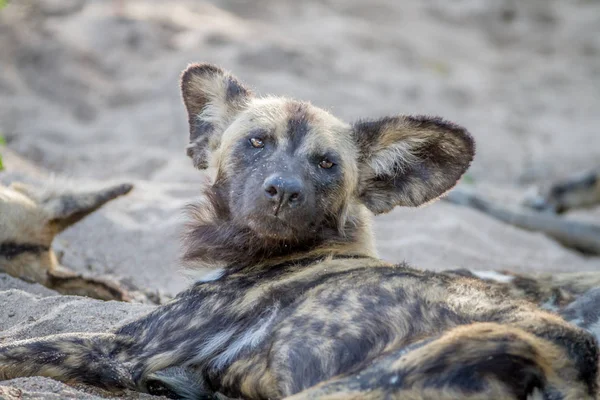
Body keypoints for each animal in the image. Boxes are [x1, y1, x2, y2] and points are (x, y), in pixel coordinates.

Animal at [0, 64, 596, 398]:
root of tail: (573, 363)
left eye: (326, 164)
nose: (284, 190)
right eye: (256, 142)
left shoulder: (130, 345)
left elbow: (19, 347)